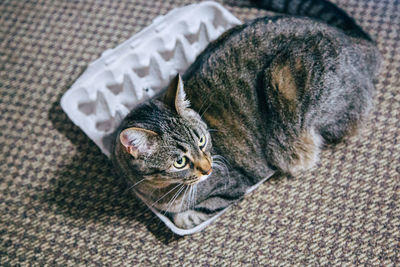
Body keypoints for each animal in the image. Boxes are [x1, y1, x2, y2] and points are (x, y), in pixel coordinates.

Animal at [111, 0, 380, 230]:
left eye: (202, 141)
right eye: (179, 161)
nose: (208, 168)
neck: (155, 190)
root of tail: (354, 43)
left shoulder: (232, 184)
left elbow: (190, 215)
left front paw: (186, 214)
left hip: (284, 79)